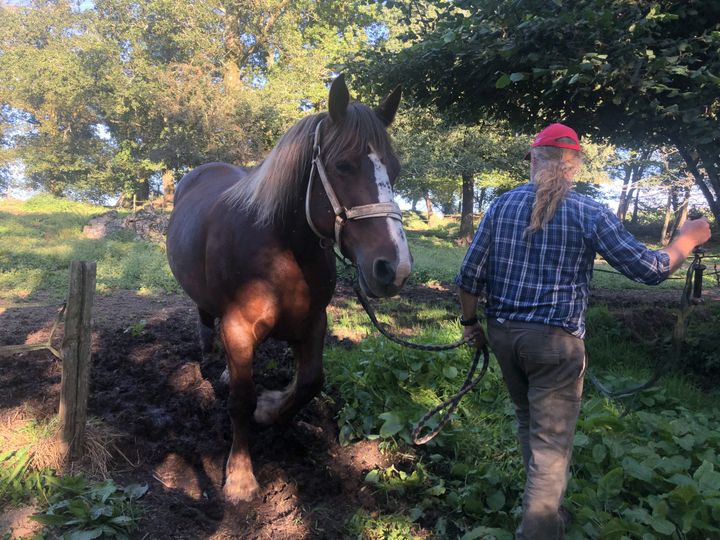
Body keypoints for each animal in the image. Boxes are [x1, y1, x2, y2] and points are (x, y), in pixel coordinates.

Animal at [165, 75, 410, 502]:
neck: (280, 247)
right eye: (343, 165)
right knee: (205, 321)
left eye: (393, 171)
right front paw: (240, 476)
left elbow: (310, 381)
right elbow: (241, 400)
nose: (393, 267)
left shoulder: (313, 322)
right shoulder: (238, 326)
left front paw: (270, 408)